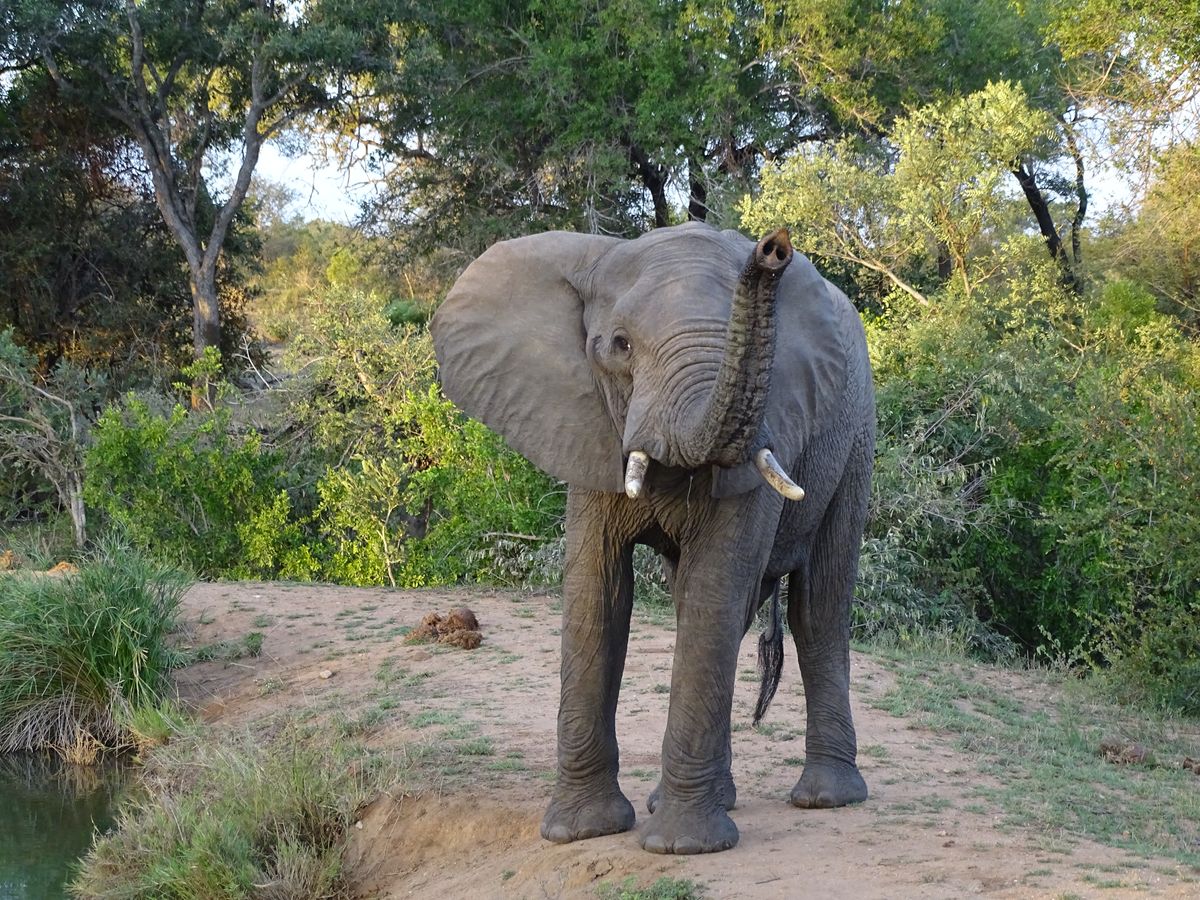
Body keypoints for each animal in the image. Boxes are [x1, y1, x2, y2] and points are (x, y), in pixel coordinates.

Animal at [430, 221, 875, 855]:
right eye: (619, 345)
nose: (772, 250)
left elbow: (714, 588)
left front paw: (684, 847)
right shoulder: (586, 422)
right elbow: (599, 593)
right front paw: (579, 833)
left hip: (857, 430)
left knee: (818, 607)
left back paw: (826, 798)